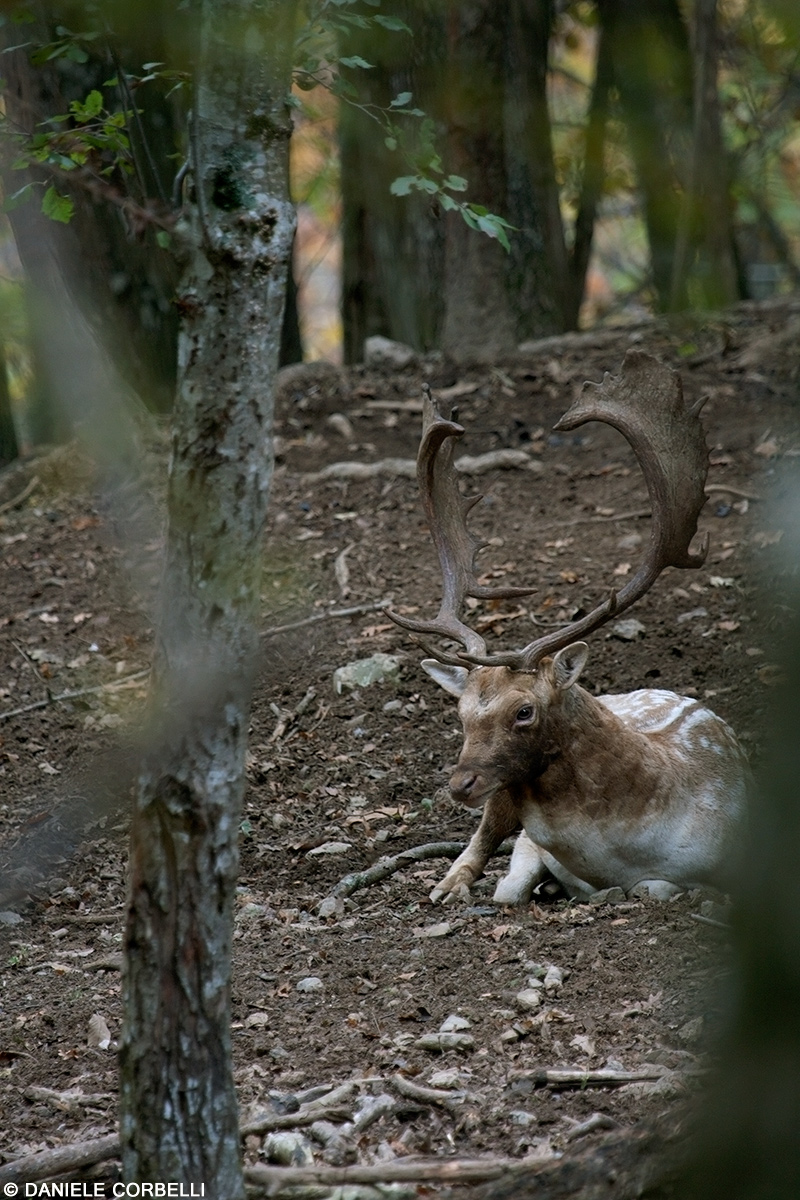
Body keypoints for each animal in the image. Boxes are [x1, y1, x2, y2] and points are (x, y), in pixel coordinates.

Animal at [388, 350, 753, 902]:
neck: (616, 855)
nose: (459, 785)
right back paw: (450, 886)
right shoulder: (527, 839)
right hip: (500, 794)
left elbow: (655, 888)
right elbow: (506, 887)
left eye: (524, 712)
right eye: (460, 713)